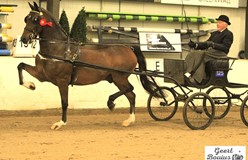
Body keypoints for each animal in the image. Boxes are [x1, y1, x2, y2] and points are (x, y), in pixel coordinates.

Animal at [18, 2, 157, 130]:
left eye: (35, 20)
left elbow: (64, 102)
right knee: (131, 95)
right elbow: (20, 66)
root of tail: (129, 47)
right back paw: (129, 120)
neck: (59, 49)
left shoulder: (62, 80)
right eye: (26, 18)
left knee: (130, 89)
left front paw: (60, 123)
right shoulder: (41, 74)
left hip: (120, 77)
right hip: (116, 79)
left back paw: (111, 103)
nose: (24, 39)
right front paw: (30, 85)